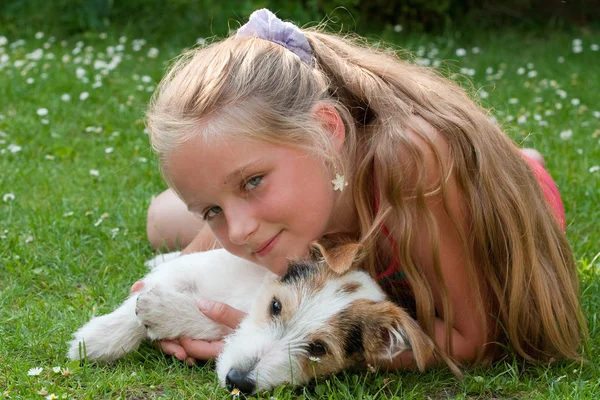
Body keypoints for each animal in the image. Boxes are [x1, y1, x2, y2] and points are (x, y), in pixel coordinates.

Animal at [69, 241, 440, 394]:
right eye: (275, 306)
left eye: (318, 349)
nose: (238, 381)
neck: (247, 296)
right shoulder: (190, 270)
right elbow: (138, 301)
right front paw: (96, 340)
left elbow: (216, 320)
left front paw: (165, 312)